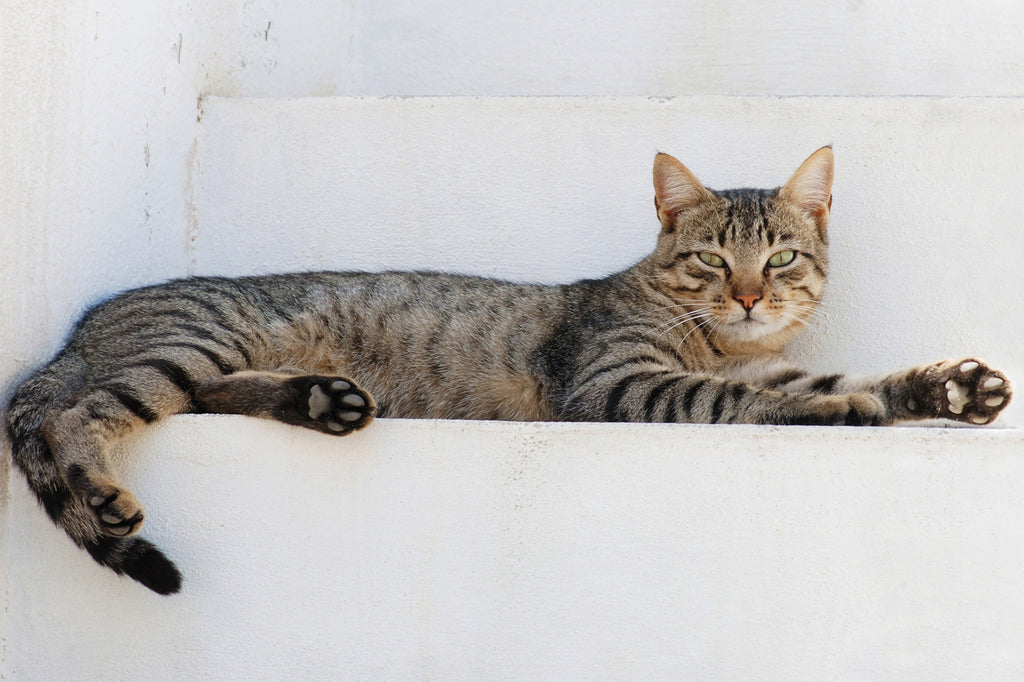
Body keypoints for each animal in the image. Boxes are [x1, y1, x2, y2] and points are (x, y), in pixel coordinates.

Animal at [4, 146, 1011, 593]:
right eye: (711, 263)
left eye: (783, 258)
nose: (752, 296)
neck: (727, 342)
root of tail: (80, 330)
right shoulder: (615, 384)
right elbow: (741, 400)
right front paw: (844, 415)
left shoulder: (769, 368)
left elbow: (843, 382)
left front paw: (948, 387)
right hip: (192, 342)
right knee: (79, 412)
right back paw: (104, 491)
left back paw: (323, 398)